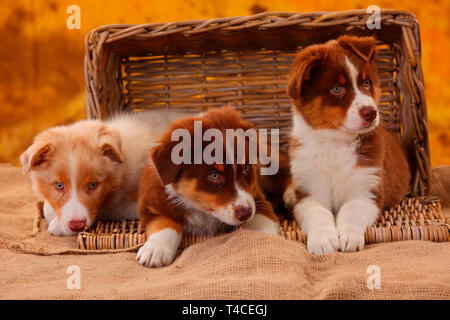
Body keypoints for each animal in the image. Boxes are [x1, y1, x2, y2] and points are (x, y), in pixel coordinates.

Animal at [135, 106, 280, 266]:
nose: (246, 214)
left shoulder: (257, 198)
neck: (203, 211)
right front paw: (156, 249)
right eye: (214, 176)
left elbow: (263, 219)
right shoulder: (151, 203)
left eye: (246, 168)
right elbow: (165, 223)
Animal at [286, 35, 410, 254]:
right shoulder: (309, 192)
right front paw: (323, 240)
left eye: (367, 82)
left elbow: (352, 209)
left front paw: (348, 237)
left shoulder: (367, 190)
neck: (336, 142)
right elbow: (318, 212)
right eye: (336, 89)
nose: (371, 113)